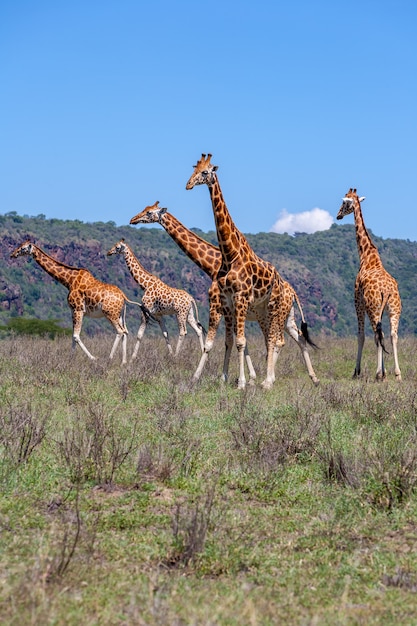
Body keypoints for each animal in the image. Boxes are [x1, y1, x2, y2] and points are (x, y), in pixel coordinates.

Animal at [9, 240, 152, 366]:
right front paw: (70, 360)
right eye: (19, 245)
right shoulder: (73, 310)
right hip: (119, 315)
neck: (68, 281)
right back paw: (123, 362)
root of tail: (123, 296)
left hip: (109, 313)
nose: (12, 254)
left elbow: (76, 336)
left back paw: (109, 359)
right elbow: (73, 336)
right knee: (125, 331)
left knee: (120, 331)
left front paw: (93, 358)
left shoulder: (78, 309)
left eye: (23, 248)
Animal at [130, 201, 318, 386]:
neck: (213, 266)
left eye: (149, 212)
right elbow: (237, 341)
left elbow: (225, 341)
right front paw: (247, 378)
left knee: (277, 340)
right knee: (298, 337)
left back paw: (269, 379)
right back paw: (312, 378)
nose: (133, 220)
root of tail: (292, 292)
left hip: (272, 315)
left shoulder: (217, 305)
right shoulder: (231, 310)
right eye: (144, 209)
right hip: (286, 317)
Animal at [334, 188, 400, 378]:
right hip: (393, 308)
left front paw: (357, 371)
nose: (338, 215)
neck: (366, 256)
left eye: (344, 203)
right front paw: (384, 371)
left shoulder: (358, 302)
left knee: (379, 334)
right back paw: (397, 373)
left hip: (373, 307)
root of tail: (387, 290)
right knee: (392, 334)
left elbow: (361, 336)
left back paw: (379, 374)